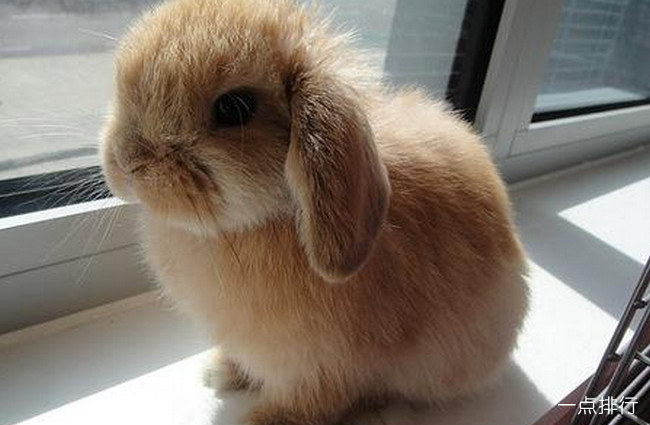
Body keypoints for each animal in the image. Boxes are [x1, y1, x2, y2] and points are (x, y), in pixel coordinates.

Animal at [100, 0, 529, 424]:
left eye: (233, 108)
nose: (127, 161)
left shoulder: (322, 369)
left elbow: (309, 404)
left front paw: (259, 420)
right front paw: (221, 371)